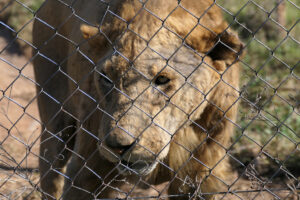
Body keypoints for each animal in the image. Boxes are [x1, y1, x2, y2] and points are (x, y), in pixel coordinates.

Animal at [32, 0, 243, 199]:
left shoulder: (200, 173)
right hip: (56, 121)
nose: (117, 147)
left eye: (162, 79)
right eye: (106, 78)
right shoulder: (89, 170)